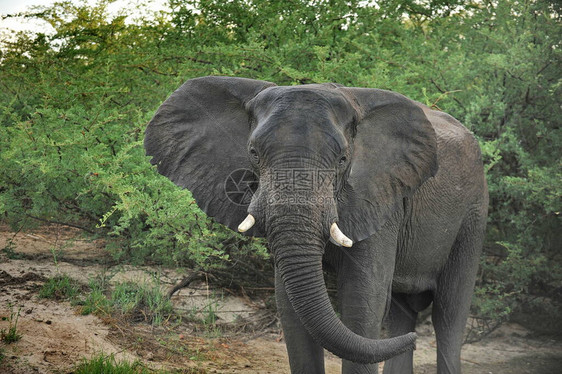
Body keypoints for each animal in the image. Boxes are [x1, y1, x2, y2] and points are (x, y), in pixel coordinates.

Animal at [143, 76, 486, 374]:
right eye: (253, 153)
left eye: (343, 159)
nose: (412, 342)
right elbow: (291, 306)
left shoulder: (381, 197)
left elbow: (364, 300)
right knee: (403, 314)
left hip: (473, 214)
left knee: (449, 314)